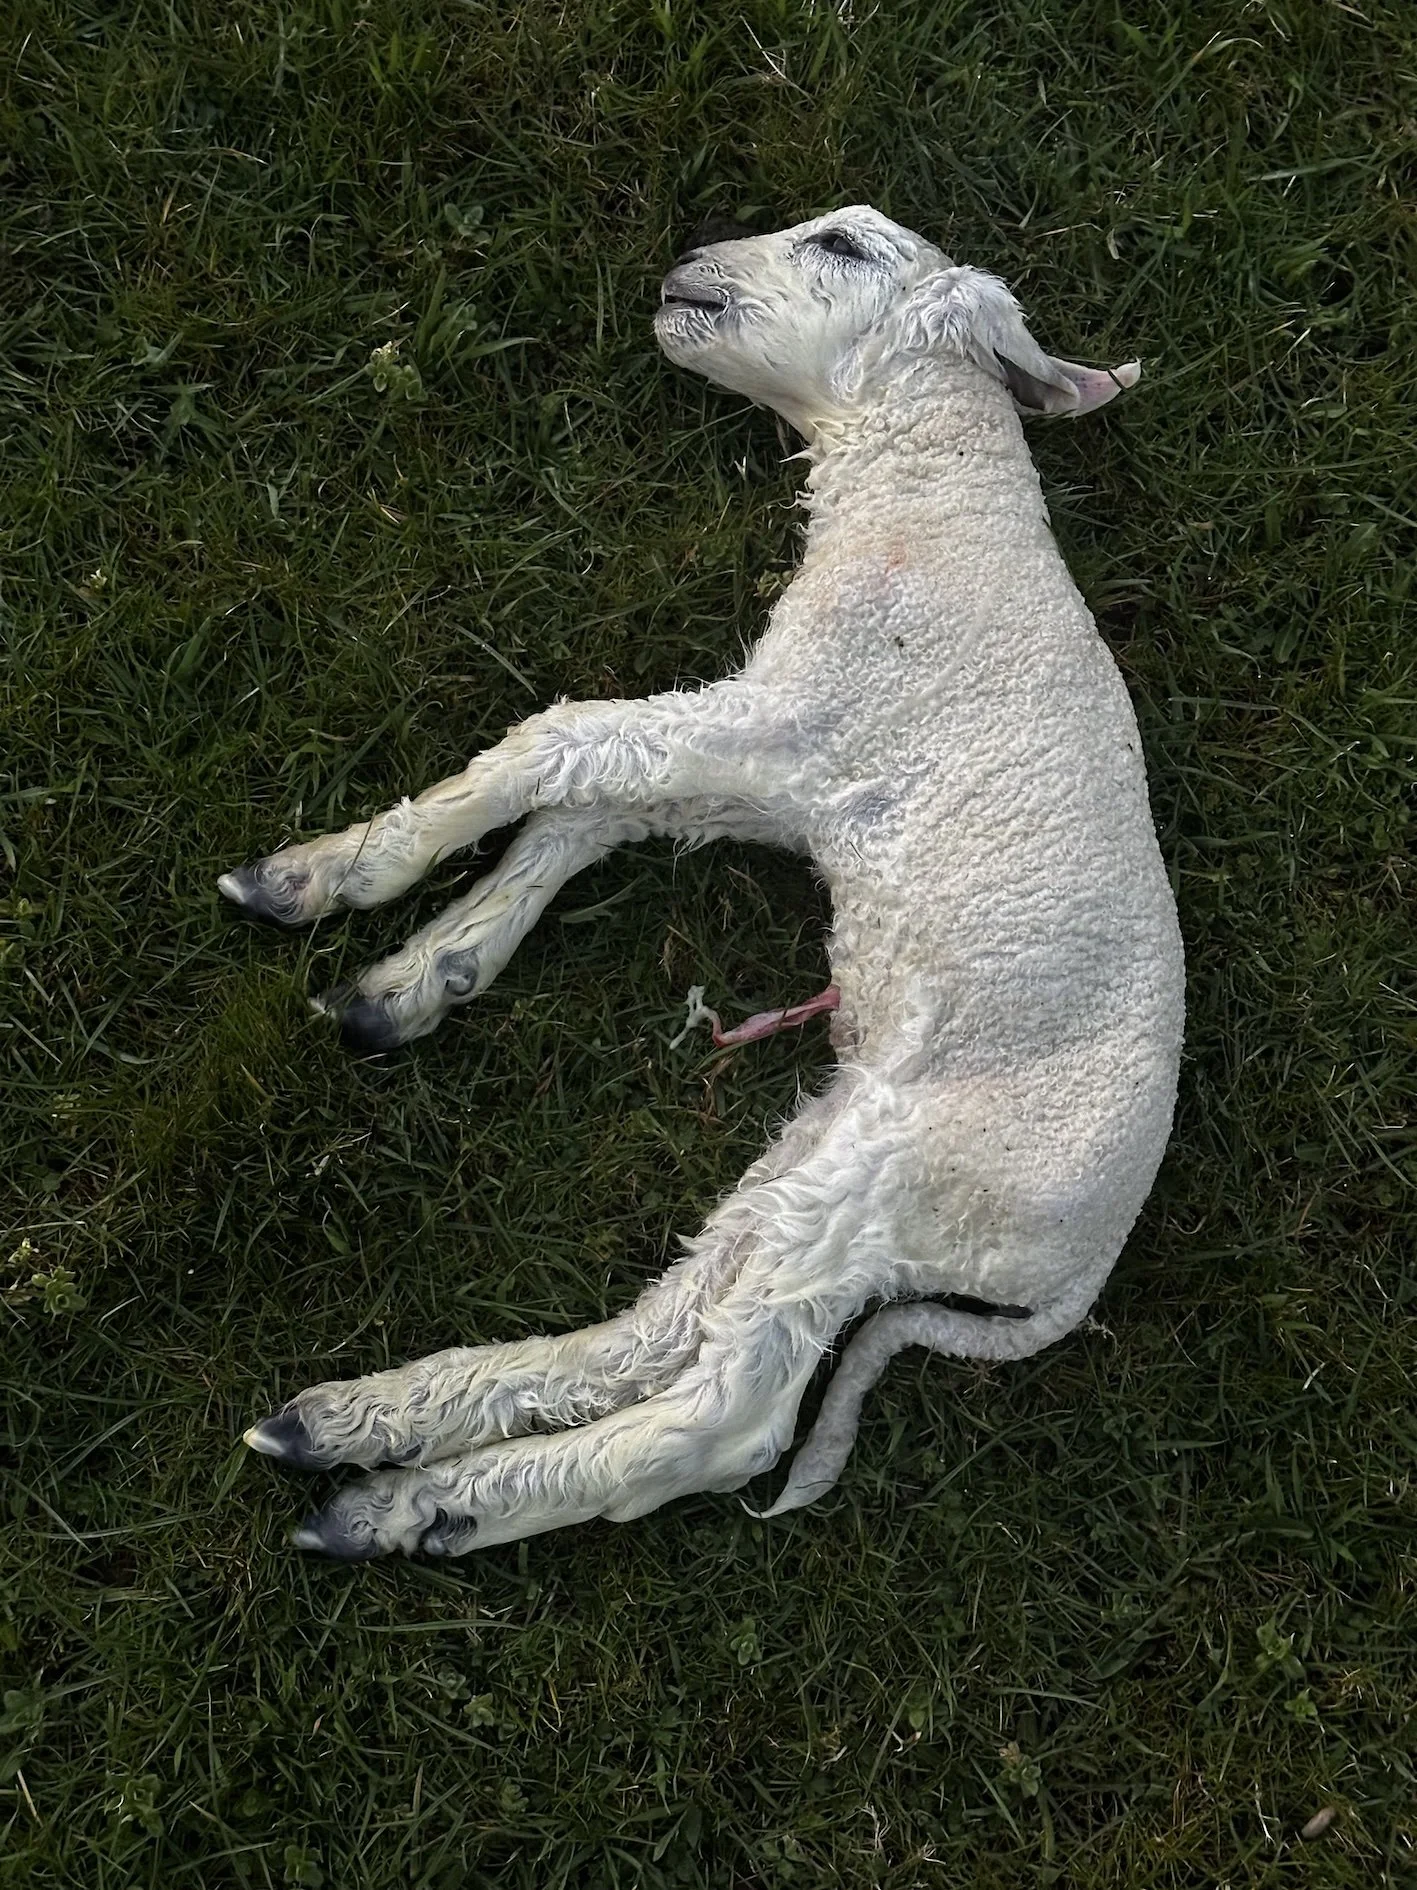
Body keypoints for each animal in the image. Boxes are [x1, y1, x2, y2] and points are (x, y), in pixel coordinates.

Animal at [221, 206, 1184, 1559]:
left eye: (840, 243)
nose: (684, 270)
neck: (931, 499)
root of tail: (1067, 1275)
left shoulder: (805, 719)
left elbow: (561, 743)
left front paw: (321, 874)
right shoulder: (780, 777)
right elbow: (594, 805)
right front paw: (421, 973)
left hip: (904, 1183)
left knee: (726, 1416)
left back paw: (415, 1499)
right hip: (825, 1146)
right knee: (668, 1322)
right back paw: (361, 1433)